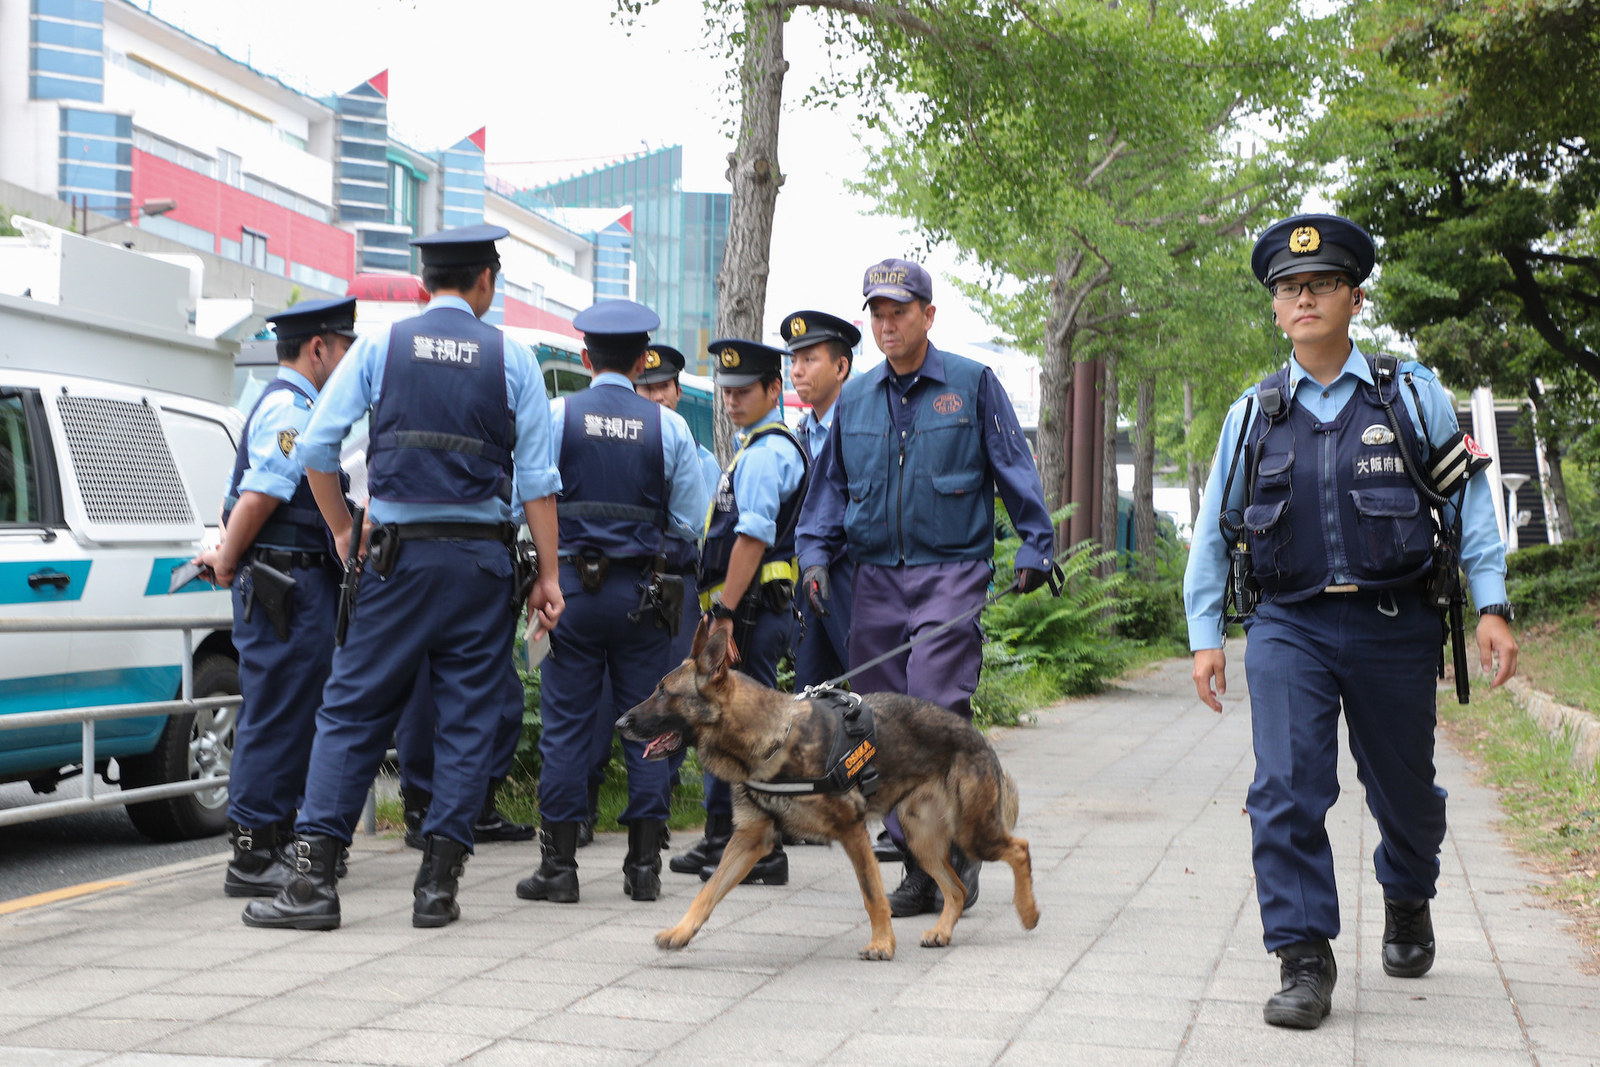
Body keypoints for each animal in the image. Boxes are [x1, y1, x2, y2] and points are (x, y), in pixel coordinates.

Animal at [611, 620, 1036, 966]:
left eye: (663, 693)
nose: (619, 723)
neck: (771, 739)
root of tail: (977, 737)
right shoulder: (750, 839)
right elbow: (708, 893)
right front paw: (680, 933)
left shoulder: (852, 831)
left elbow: (872, 894)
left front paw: (882, 944)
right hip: (922, 840)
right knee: (958, 888)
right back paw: (944, 931)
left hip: (972, 833)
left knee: (1018, 849)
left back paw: (1028, 912)